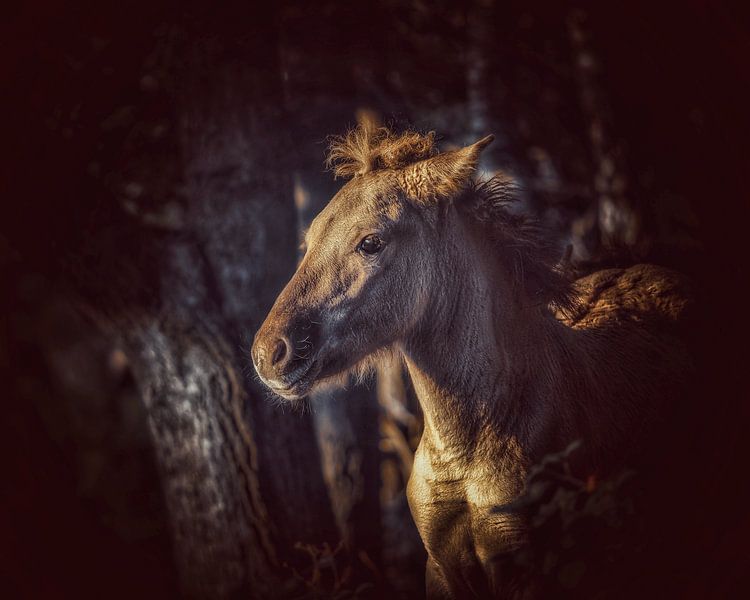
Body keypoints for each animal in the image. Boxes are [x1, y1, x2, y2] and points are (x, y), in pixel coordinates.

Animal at [252, 124, 693, 598]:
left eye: (371, 242)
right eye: (309, 240)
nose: (269, 353)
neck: (465, 451)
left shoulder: (529, 566)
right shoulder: (442, 568)